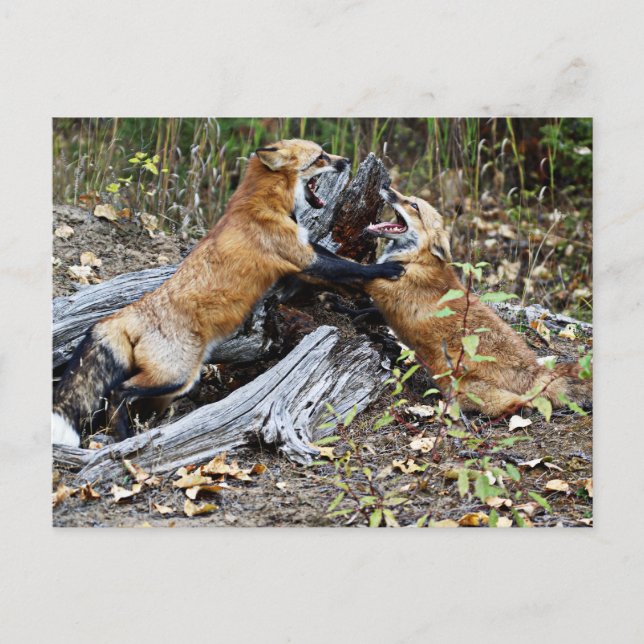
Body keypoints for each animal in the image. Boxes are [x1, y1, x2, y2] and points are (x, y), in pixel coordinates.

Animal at [52, 139, 404, 447]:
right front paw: (386, 271)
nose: (345, 160)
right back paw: (126, 438)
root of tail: (124, 314)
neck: (265, 204)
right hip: (177, 375)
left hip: (172, 385)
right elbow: (349, 267)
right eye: (320, 157)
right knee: (118, 394)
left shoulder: (304, 253)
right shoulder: (301, 257)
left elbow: (341, 269)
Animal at [360, 186, 592, 418]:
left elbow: (362, 275)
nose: (386, 186)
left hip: (467, 391)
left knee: (517, 403)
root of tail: (535, 370)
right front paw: (363, 313)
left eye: (414, 205)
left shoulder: (383, 287)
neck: (415, 260)